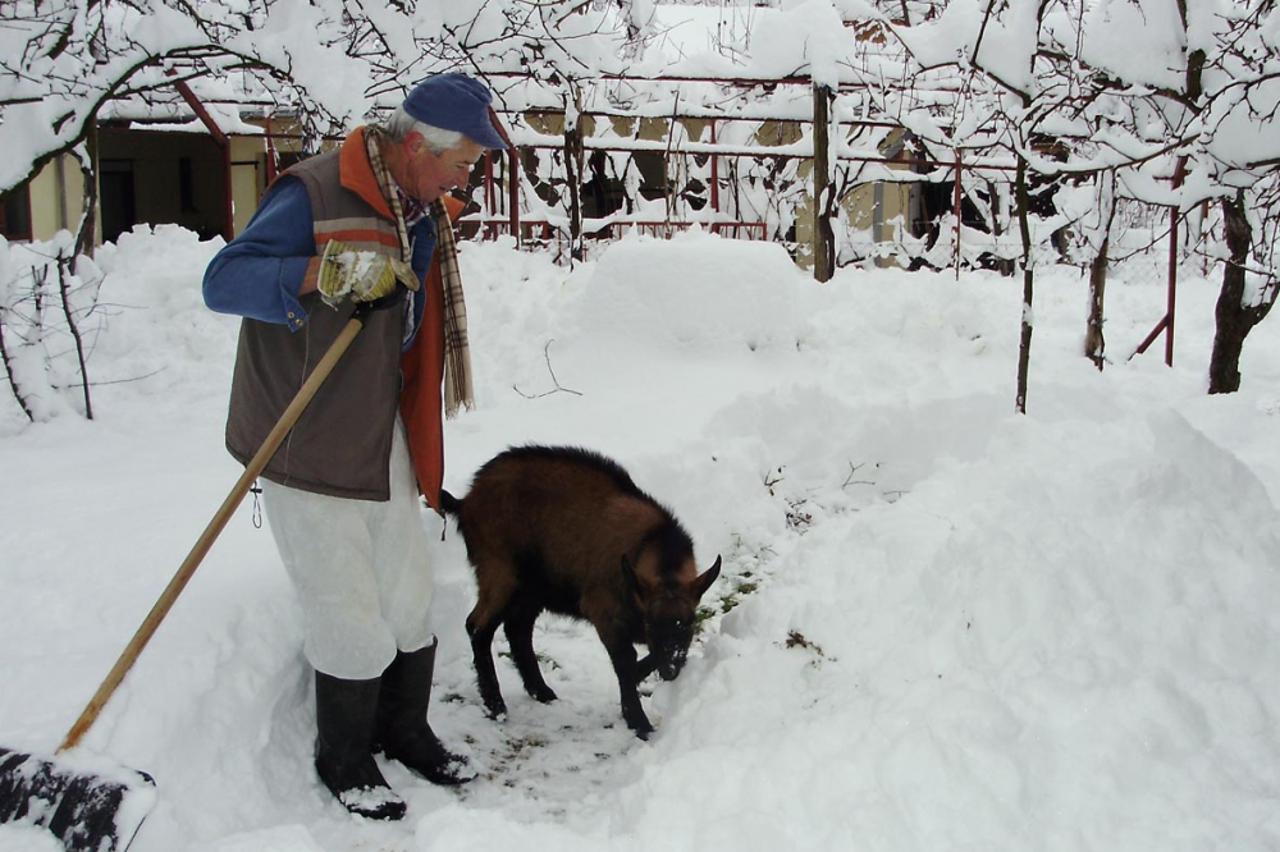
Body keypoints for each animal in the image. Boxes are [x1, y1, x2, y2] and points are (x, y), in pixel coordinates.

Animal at [440, 445, 721, 736]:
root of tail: (466, 501)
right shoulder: (604, 612)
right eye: (651, 625)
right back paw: (496, 706)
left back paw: (541, 691)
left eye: (689, 624)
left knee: (517, 630)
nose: (671, 670)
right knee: (478, 627)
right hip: (500, 573)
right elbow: (626, 662)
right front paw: (639, 722)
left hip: (532, 588)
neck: (649, 543)